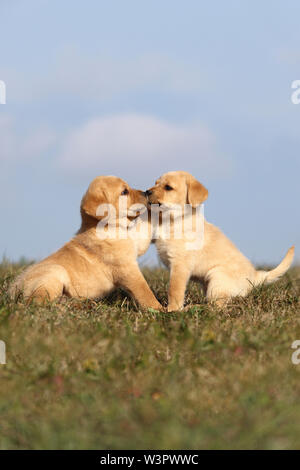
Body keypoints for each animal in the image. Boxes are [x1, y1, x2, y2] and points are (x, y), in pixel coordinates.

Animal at [9, 174, 162, 310]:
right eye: (124, 191)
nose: (146, 192)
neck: (109, 227)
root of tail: (13, 289)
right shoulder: (127, 269)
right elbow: (144, 291)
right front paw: (159, 309)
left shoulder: (136, 243)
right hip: (54, 274)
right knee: (38, 302)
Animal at [146, 171, 294, 310]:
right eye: (155, 183)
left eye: (168, 187)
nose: (147, 192)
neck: (173, 220)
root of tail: (254, 276)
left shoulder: (180, 265)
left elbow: (174, 289)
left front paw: (172, 309)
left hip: (217, 278)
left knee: (217, 305)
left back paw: (194, 307)